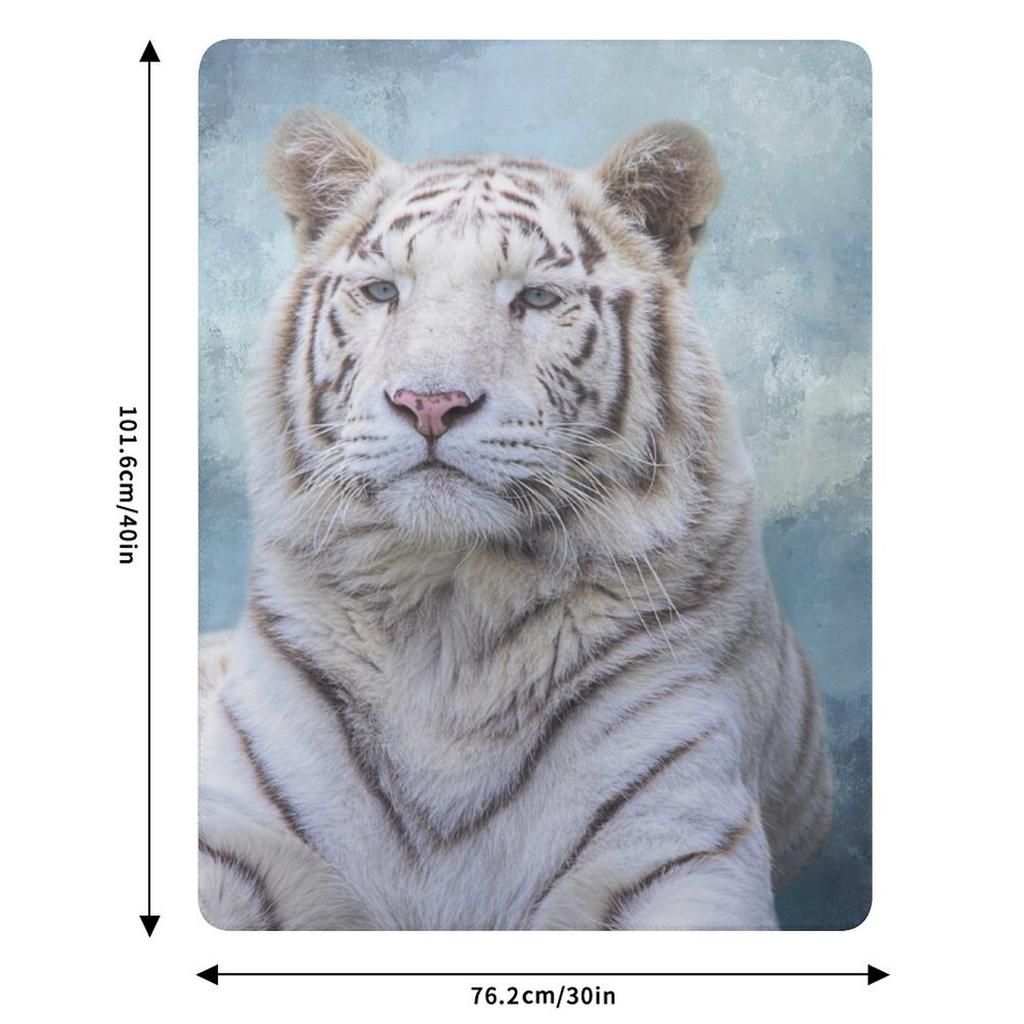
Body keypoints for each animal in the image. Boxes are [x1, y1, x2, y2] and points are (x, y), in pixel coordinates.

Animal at [198, 107, 833, 930]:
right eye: (382, 291)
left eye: (534, 299)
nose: (429, 403)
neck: (447, 614)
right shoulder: (241, 826)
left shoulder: (674, 839)